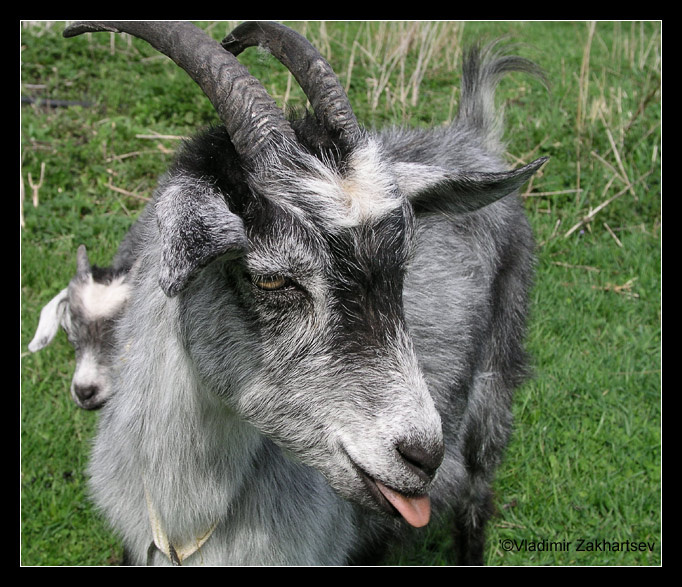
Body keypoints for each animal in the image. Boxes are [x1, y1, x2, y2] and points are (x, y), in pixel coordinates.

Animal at [60, 21, 547, 565]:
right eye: (272, 278)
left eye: (403, 266)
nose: (423, 456)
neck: (187, 518)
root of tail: (471, 134)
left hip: (494, 384)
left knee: (477, 492)